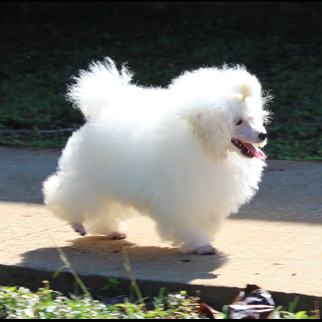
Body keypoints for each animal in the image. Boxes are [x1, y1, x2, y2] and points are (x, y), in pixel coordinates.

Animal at [41, 57, 270, 254]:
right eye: (238, 122)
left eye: (253, 118)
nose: (263, 134)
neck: (203, 144)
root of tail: (103, 109)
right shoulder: (183, 197)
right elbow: (189, 221)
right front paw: (201, 244)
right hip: (87, 177)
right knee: (70, 194)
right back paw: (78, 223)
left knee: (106, 206)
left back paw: (113, 230)